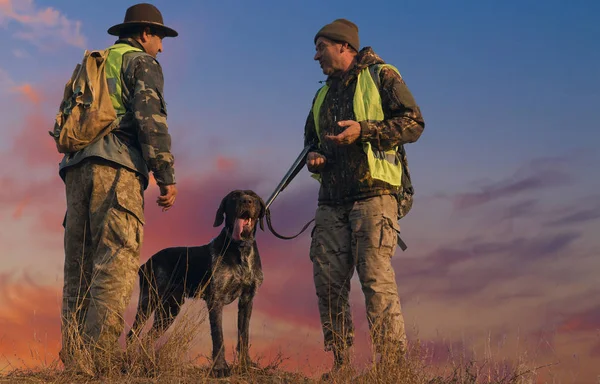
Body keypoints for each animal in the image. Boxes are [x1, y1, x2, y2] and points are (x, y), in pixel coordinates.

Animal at [127, 190, 264, 376]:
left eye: (253, 196)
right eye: (234, 196)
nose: (246, 201)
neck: (241, 250)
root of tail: (146, 263)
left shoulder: (247, 299)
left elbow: (244, 335)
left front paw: (246, 365)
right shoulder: (215, 300)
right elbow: (218, 336)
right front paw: (220, 368)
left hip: (170, 309)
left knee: (148, 338)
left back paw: (148, 363)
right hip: (149, 301)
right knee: (132, 334)